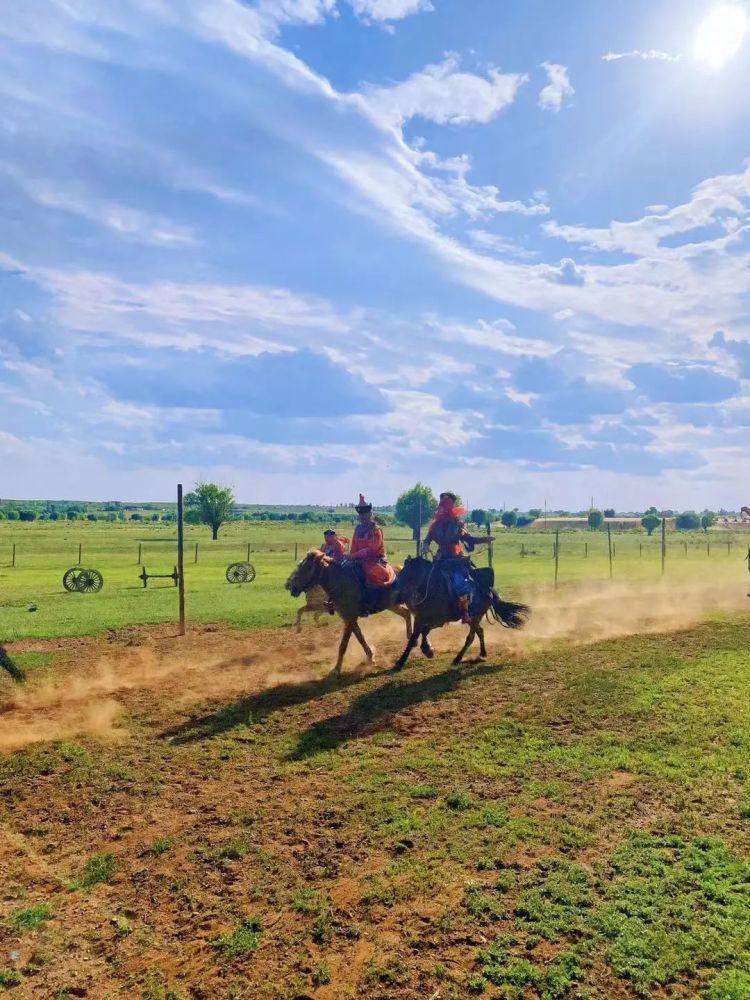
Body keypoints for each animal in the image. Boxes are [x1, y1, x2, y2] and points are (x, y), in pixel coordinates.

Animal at [288, 552, 418, 676]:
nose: (292, 586)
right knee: (406, 614)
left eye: (309, 567)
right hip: (392, 605)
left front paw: (336, 669)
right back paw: (411, 638)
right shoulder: (349, 618)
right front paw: (370, 657)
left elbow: (343, 645)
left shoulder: (350, 618)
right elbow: (360, 637)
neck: (340, 582)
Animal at [390, 556, 532, 672]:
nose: (396, 592)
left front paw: (427, 650)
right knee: (480, 631)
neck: (430, 588)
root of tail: (488, 591)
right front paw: (400, 662)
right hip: (471, 618)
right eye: (401, 573)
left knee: (471, 636)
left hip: (475, 617)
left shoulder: (439, 620)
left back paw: (458, 658)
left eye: (407, 574)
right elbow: (414, 637)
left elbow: (424, 631)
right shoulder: (420, 618)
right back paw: (482, 653)